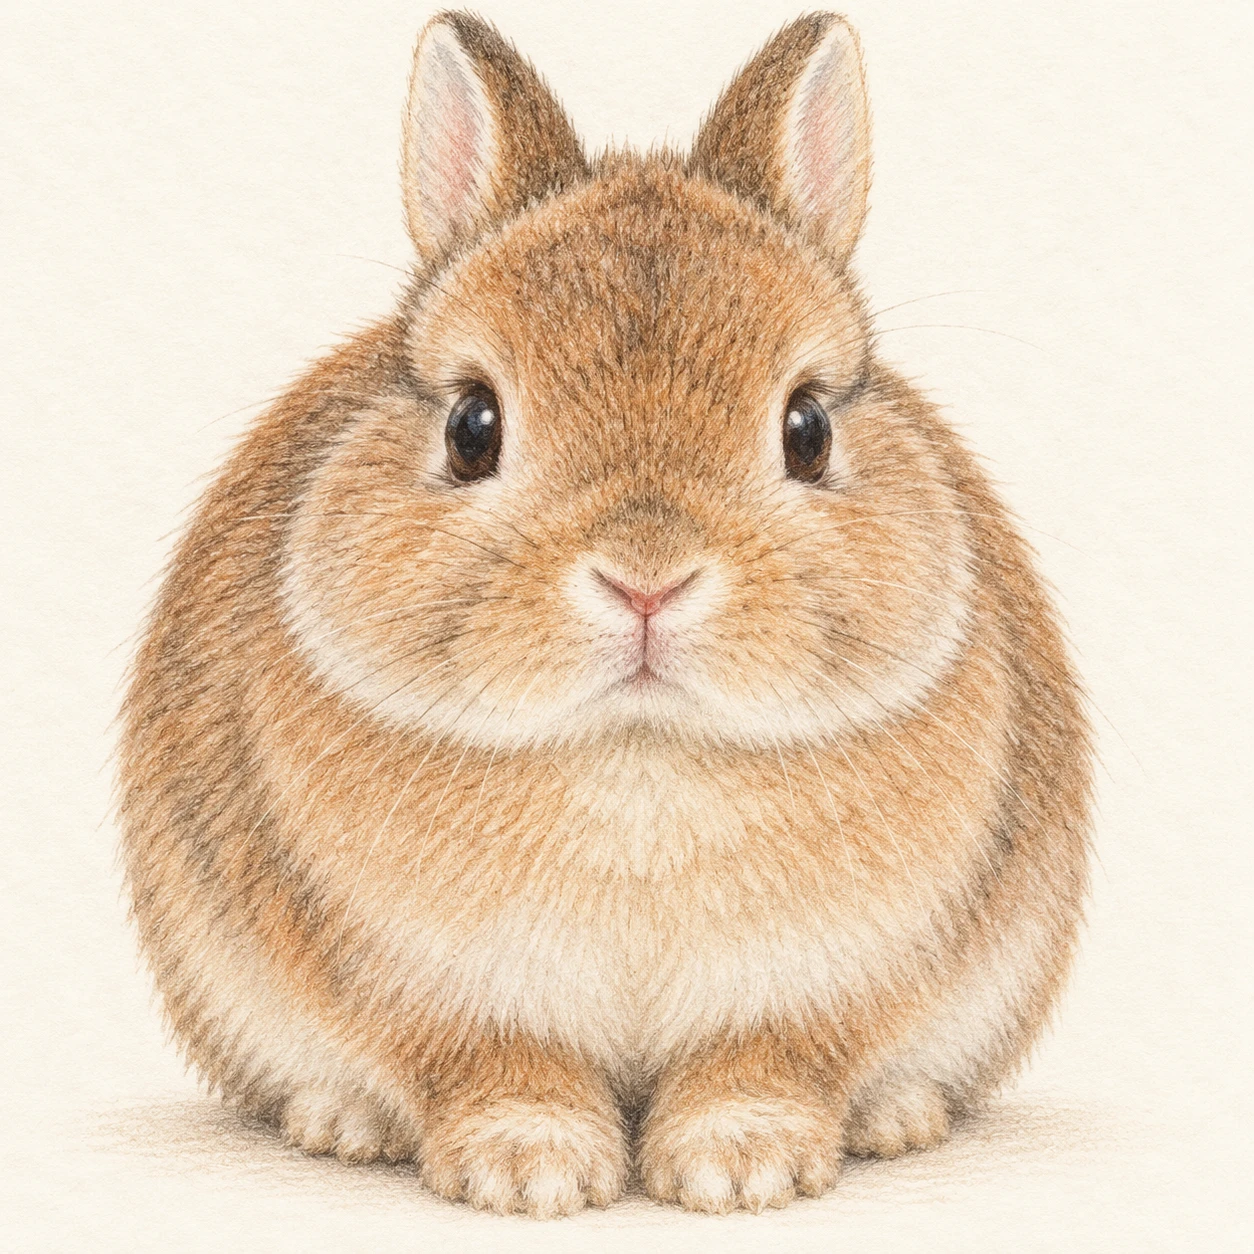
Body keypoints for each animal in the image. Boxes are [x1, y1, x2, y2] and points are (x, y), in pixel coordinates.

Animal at [118, 9, 1092, 1217]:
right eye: (472, 427)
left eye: (808, 428)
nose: (646, 579)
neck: (639, 751)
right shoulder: (440, 995)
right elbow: (498, 1065)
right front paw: (531, 1172)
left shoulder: (813, 990)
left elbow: (765, 1059)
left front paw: (739, 1167)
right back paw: (343, 1124)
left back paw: (898, 1119)